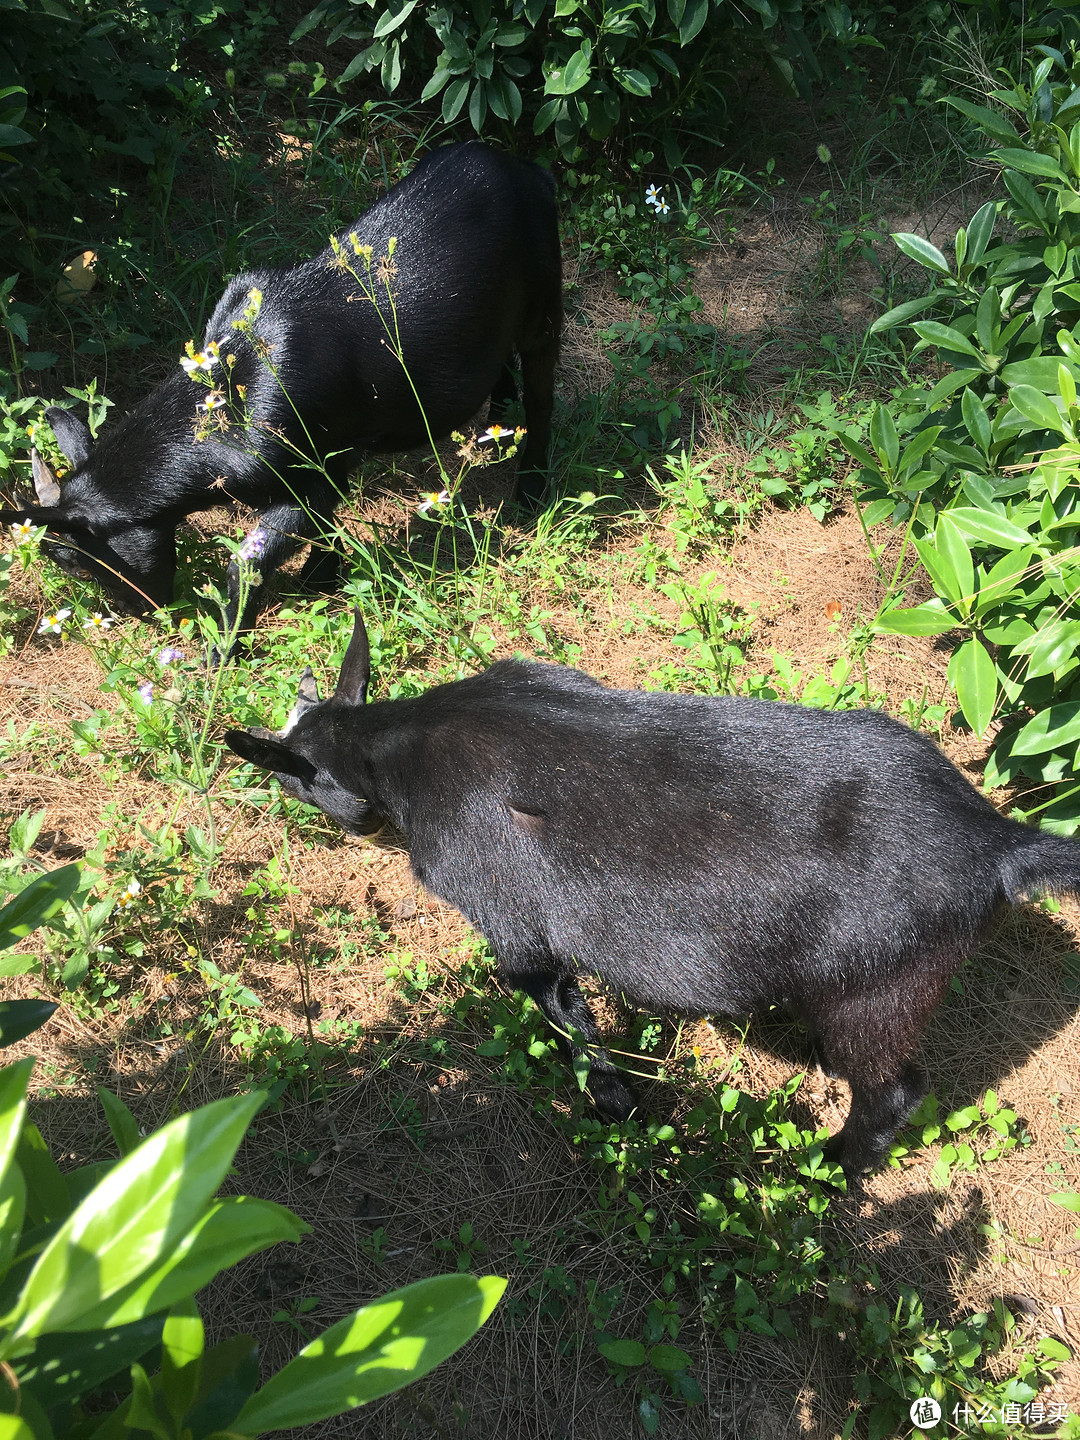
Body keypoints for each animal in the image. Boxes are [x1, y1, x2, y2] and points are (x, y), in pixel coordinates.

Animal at [4, 143, 567, 633]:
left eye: (77, 562)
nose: (137, 612)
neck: (230, 395)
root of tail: (530, 172)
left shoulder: (305, 468)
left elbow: (250, 560)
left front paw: (223, 648)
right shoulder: (333, 459)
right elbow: (329, 519)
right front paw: (324, 578)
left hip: (544, 296)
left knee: (543, 390)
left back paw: (531, 488)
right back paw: (498, 427)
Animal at [224, 613, 1080, 1175]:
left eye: (294, 779)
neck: (400, 742)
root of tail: (991, 841)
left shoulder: (513, 922)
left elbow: (567, 1020)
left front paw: (615, 1104)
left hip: (879, 984)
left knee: (895, 1090)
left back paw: (828, 1166)